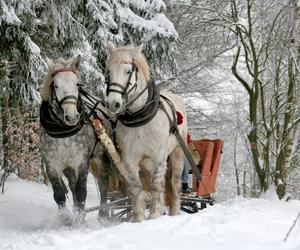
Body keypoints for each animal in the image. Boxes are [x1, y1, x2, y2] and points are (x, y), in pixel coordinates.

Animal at [104, 42, 186, 222]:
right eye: (108, 71)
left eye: (128, 71)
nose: (113, 103)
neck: (140, 117)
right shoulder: (130, 158)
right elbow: (136, 187)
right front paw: (139, 217)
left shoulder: (159, 156)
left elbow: (156, 185)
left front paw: (154, 214)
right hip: (147, 162)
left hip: (177, 152)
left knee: (174, 183)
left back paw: (174, 212)